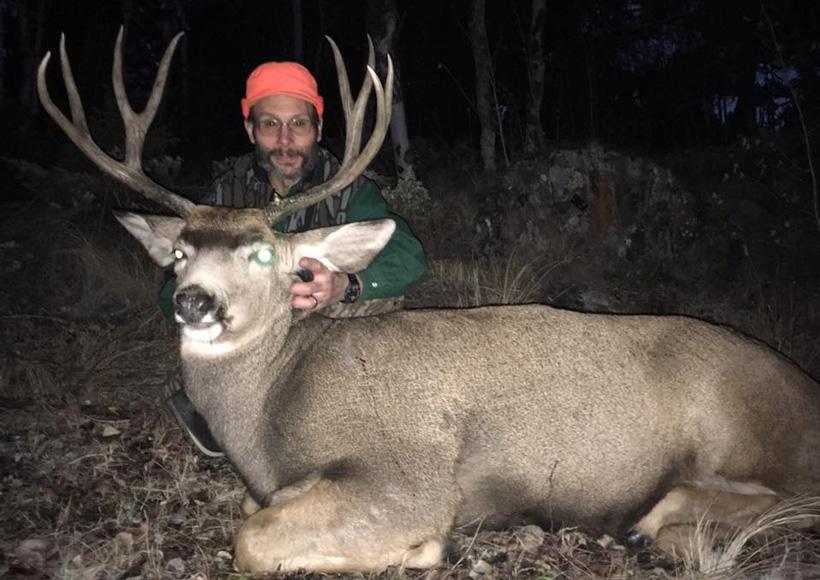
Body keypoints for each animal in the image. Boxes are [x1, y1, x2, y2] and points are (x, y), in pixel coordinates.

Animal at [38, 29, 820, 574]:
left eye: (263, 253)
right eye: (178, 253)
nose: (193, 303)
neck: (272, 410)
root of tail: (806, 387)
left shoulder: (405, 475)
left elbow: (254, 538)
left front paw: (424, 549)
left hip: (742, 429)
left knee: (787, 501)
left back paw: (659, 525)